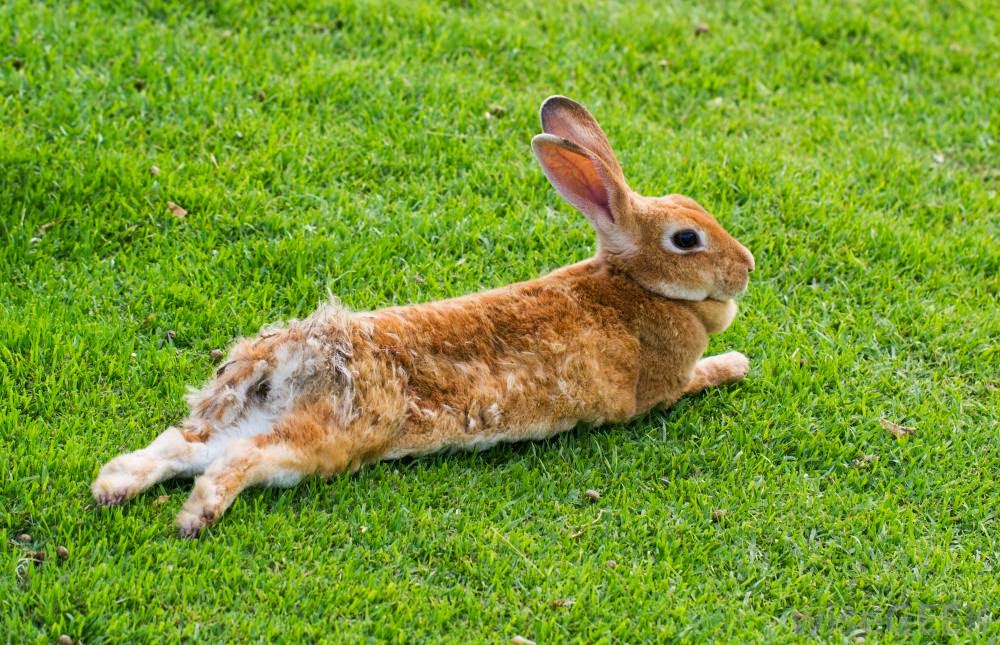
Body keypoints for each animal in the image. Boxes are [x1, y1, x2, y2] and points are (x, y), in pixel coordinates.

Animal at [91, 96, 755, 536]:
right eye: (687, 239)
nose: (747, 266)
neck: (637, 285)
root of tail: (283, 356)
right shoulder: (662, 387)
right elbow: (703, 375)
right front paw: (738, 361)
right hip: (327, 437)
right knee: (237, 461)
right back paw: (194, 517)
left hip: (251, 414)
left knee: (183, 446)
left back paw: (111, 487)